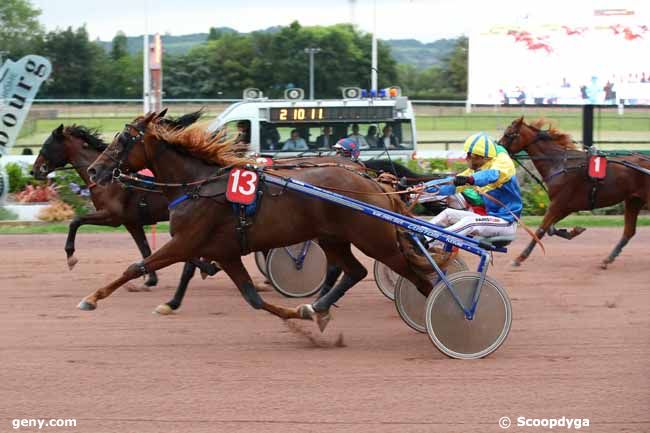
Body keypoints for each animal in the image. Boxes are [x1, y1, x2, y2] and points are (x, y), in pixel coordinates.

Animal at [82, 112, 446, 330]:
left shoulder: (186, 241)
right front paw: (295, 314)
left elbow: (137, 266)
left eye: (123, 139)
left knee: (419, 277)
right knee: (353, 271)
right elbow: (250, 296)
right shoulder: (221, 250)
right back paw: (316, 307)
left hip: (375, 240)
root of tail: (372, 181)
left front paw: (91, 299)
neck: (199, 185)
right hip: (333, 238)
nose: (94, 171)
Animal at [498, 116, 644, 268]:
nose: (497, 147)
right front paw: (574, 231)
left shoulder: (559, 203)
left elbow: (541, 229)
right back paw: (607, 259)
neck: (559, 164)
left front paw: (519, 258)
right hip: (634, 201)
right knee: (629, 231)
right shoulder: (567, 206)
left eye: (508, 134)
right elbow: (550, 228)